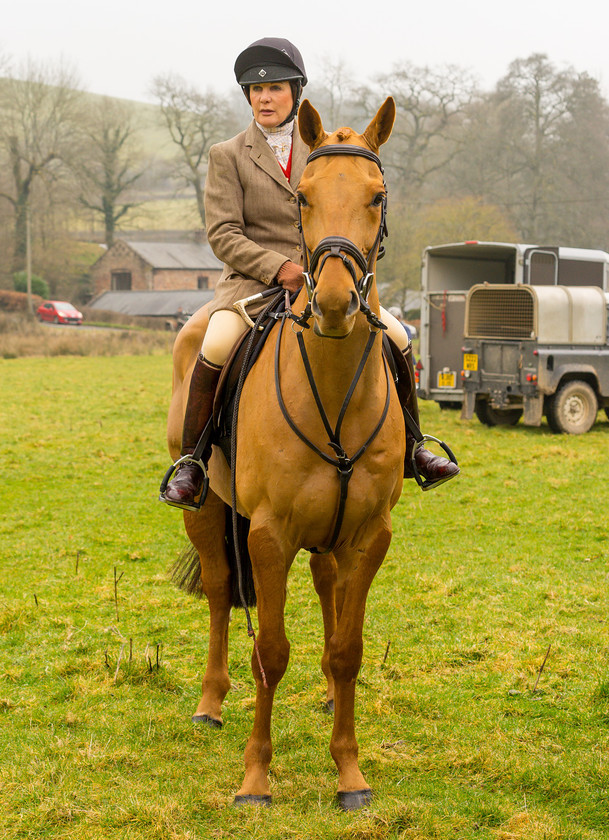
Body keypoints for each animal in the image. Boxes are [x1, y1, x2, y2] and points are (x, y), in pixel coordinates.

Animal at [166, 97, 404, 808]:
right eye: (303, 198)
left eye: (377, 196)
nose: (333, 303)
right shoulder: (268, 535)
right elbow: (269, 651)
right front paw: (255, 778)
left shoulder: (369, 536)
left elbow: (347, 650)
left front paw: (350, 773)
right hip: (206, 511)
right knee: (221, 591)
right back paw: (211, 704)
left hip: (330, 533)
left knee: (325, 587)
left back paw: (325, 697)